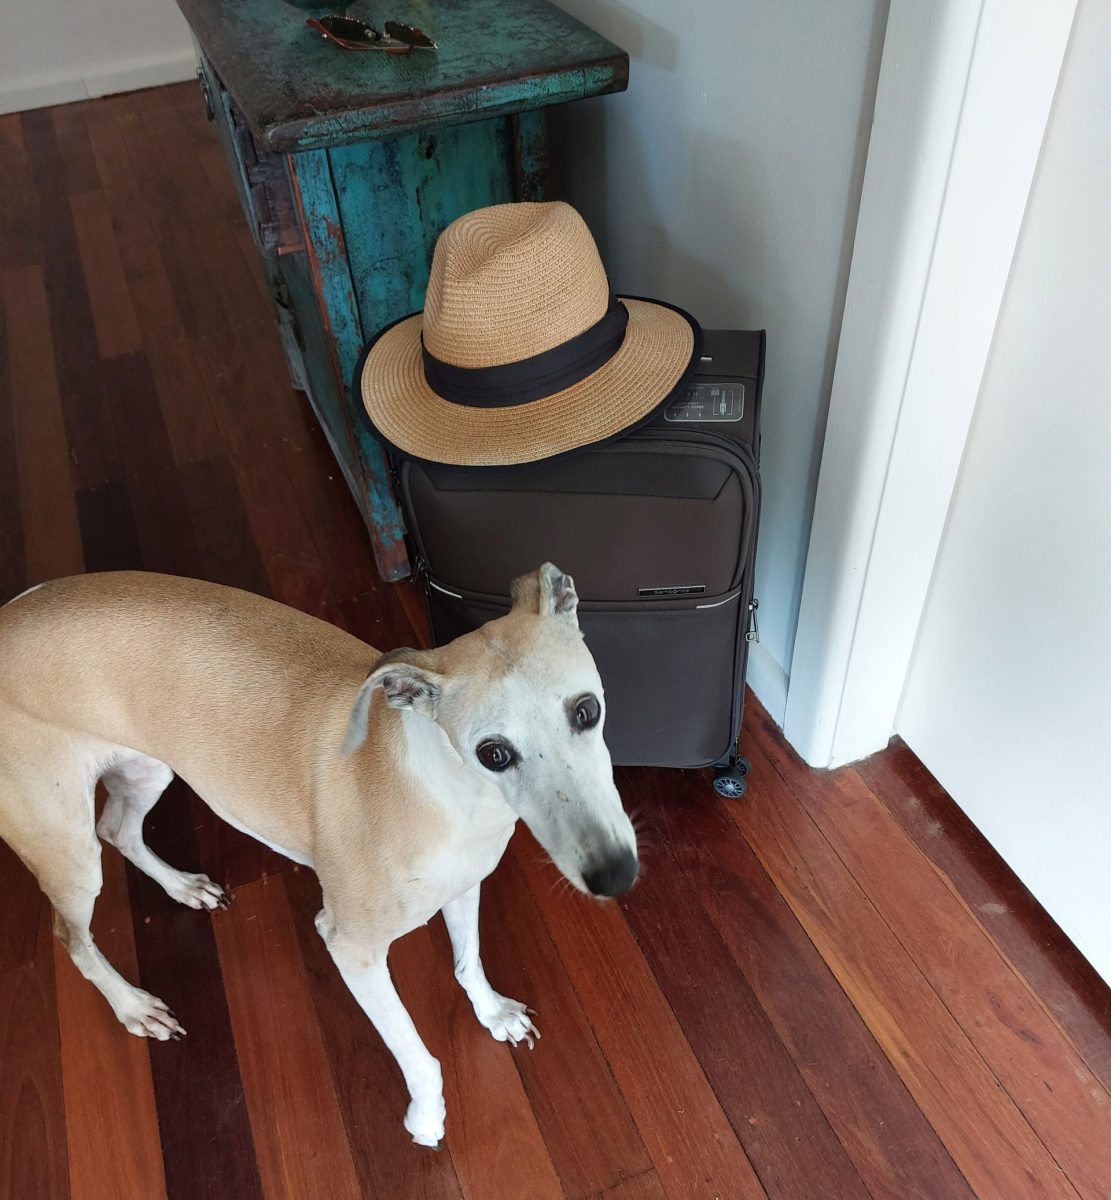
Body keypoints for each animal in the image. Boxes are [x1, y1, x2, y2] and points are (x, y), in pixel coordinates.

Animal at [0, 561, 638, 1142]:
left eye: (587, 710)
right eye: (494, 753)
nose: (617, 875)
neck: (454, 791)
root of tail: (11, 612)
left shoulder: (463, 885)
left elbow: (467, 960)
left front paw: (495, 1014)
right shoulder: (350, 947)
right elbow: (416, 1052)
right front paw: (426, 1117)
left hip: (147, 770)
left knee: (119, 830)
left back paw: (184, 887)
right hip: (67, 850)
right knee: (72, 937)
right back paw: (133, 1006)